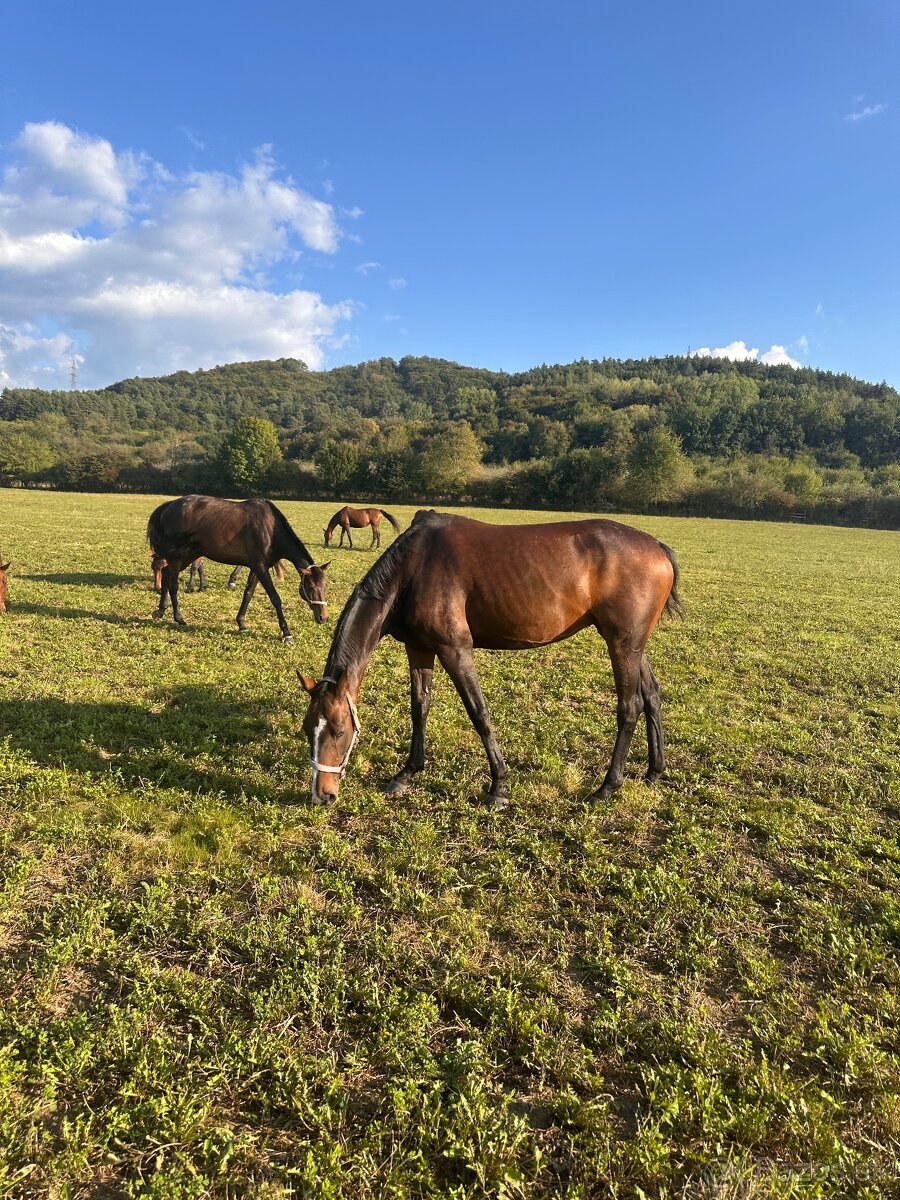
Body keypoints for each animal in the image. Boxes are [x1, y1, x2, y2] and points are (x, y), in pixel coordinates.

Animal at [148, 494, 331, 648]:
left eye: (325, 587)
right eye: (311, 587)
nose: (324, 617)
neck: (270, 529)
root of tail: (169, 505)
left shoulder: (257, 568)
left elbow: (248, 594)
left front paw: (241, 623)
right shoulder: (260, 567)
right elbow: (275, 598)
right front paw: (286, 633)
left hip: (188, 555)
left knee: (165, 573)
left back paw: (161, 610)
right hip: (177, 557)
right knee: (173, 585)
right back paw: (178, 617)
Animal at [300, 511, 681, 811]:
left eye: (338, 730)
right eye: (307, 729)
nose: (323, 794)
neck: (412, 570)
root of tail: (657, 546)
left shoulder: (455, 649)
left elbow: (479, 713)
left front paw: (498, 786)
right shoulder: (419, 648)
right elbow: (419, 708)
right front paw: (407, 772)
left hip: (621, 646)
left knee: (629, 707)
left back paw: (607, 786)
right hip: (630, 646)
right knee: (652, 693)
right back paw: (654, 771)